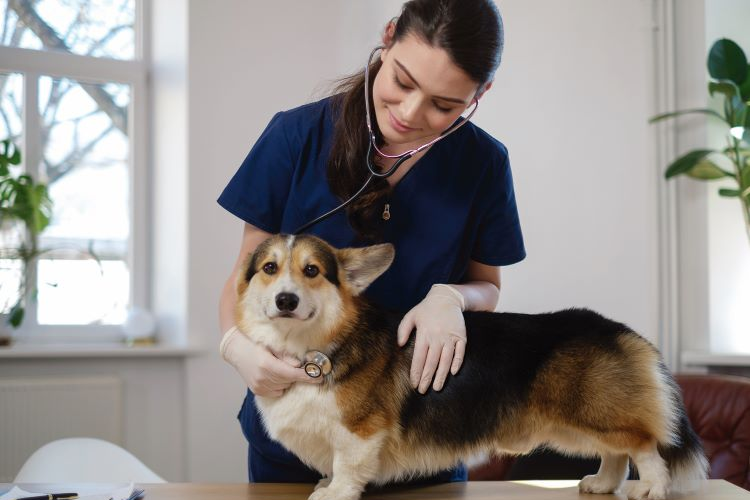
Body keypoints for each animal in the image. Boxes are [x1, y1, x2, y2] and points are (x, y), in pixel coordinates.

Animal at [235, 234, 712, 500]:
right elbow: (334, 465)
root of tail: (621, 330)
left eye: (312, 271)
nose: (285, 300)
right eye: (270, 268)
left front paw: (334, 494)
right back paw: (600, 484)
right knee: (616, 452)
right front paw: (324, 485)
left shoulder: (361, 430)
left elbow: (349, 466)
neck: (312, 346)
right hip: (578, 423)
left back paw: (650, 487)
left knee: (643, 444)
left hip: (593, 412)